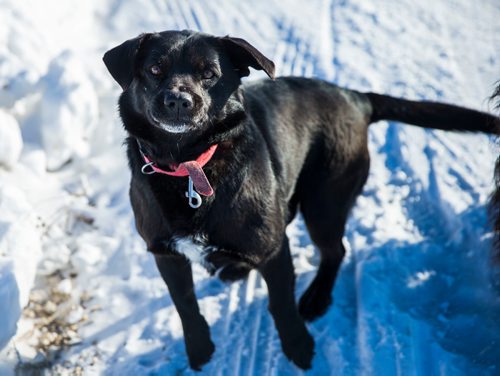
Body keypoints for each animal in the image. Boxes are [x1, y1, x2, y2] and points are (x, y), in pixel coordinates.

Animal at [102, 30, 500, 370]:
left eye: (209, 74)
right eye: (155, 69)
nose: (178, 100)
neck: (190, 165)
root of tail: (356, 98)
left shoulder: (273, 250)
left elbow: (280, 304)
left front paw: (298, 347)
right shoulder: (165, 253)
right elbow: (185, 304)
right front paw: (200, 349)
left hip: (325, 202)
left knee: (335, 250)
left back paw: (316, 297)